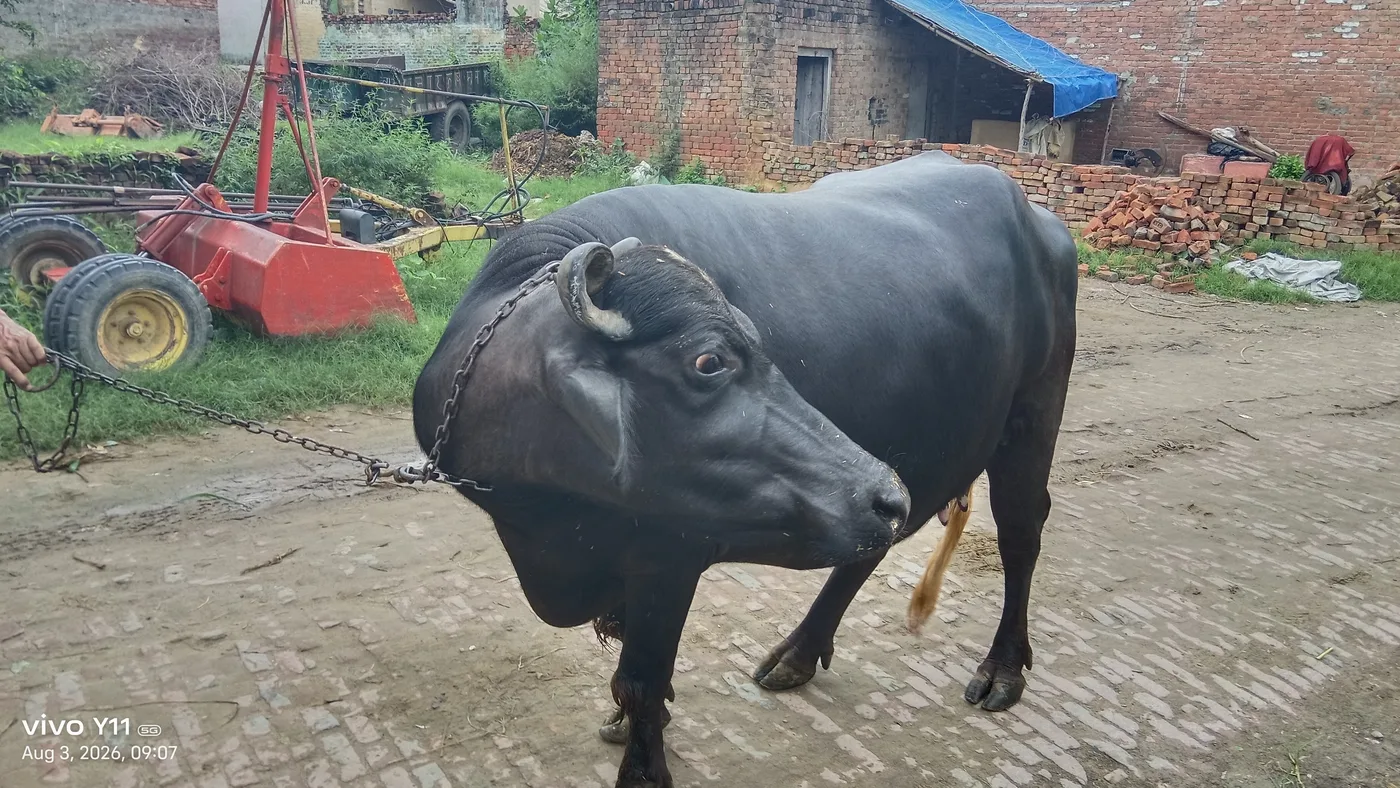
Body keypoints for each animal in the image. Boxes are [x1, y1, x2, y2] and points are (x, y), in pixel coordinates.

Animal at [413, 151, 1078, 787]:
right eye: (709, 361)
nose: (883, 489)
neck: (548, 522)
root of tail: (1039, 220)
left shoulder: (671, 555)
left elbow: (642, 676)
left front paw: (644, 764)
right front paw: (633, 722)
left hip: (1029, 419)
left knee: (1021, 534)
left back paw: (1002, 670)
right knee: (869, 548)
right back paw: (799, 653)